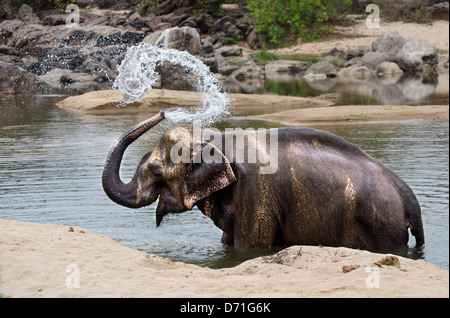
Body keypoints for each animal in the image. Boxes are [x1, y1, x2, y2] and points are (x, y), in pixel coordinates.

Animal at [103, 112, 426, 251]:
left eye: (156, 170)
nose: (162, 111)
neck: (218, 139)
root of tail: (408, 197)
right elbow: (228, 240)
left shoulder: (256, 191)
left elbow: (250, 247)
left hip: (381, 225)